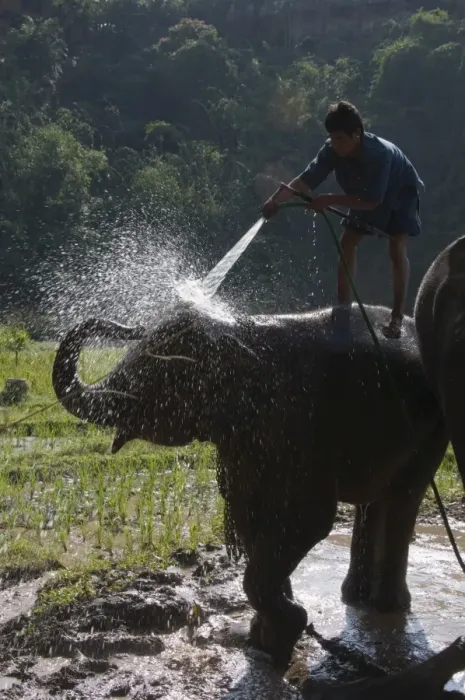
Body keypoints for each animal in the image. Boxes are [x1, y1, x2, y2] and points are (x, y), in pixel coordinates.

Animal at [52, 301, 449, 666]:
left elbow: (307, 519)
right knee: (373, 500)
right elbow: (251, 517)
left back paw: (386, 606)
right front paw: (266, 638)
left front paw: (286, 630)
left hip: (433, 428)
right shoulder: (244, 441)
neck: (238, 331)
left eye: (153, 371)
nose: (127, 326)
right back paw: (354, 597)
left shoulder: (299, 424)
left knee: (403, 499)